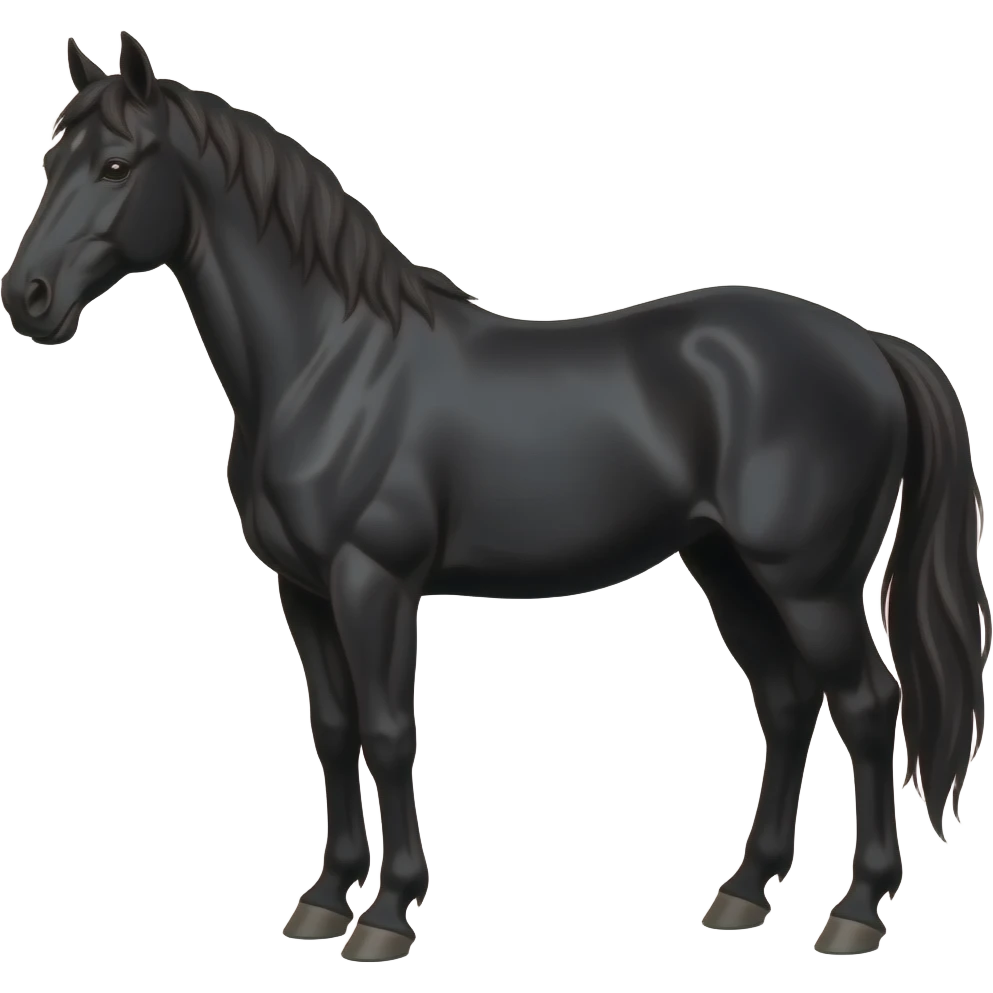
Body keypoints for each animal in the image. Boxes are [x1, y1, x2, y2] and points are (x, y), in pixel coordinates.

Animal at [2, 33, 988, 961]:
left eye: (117, 165)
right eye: (51, 160)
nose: (28, 297)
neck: (330, 363)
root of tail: (868, 346)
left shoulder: (373, 581)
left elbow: (389, 731)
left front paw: (387, 913)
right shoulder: (304, 587)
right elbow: (333, 728)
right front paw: (324, 897)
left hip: (808, 582)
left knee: (867, 706)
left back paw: (854, 910)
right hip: (727, 567)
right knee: (786, 704)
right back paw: (744, 892)